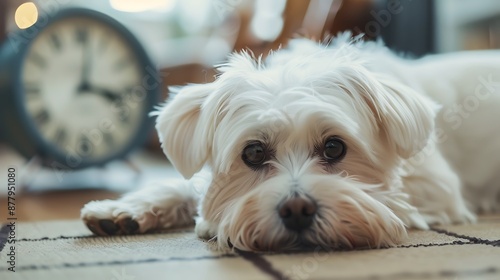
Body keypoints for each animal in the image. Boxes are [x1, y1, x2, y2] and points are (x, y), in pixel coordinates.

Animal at [80, 34, 500, 250]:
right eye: (253, 152)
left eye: (334, 147)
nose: (297, 209)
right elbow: (188, 186)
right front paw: (124, 209)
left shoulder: (439, 189)